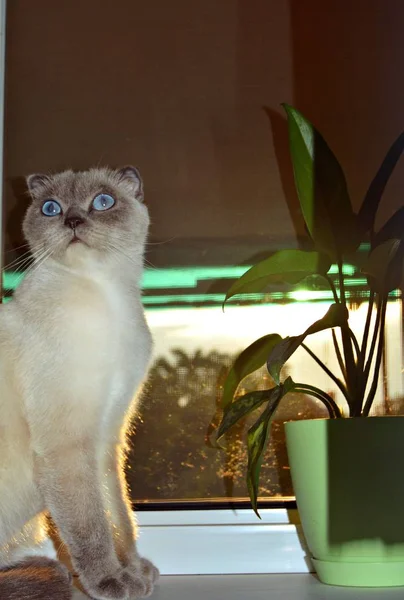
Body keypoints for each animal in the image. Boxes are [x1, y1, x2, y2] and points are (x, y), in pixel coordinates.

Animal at [0, 165, 159, 600]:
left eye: (102, 202)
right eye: (51, 208)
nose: (71, 221)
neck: (108, 304)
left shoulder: (105, 439)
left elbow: (117, 517)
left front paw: (134, 572)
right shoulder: (68, 446)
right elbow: (90, 527)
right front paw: (110, 582)